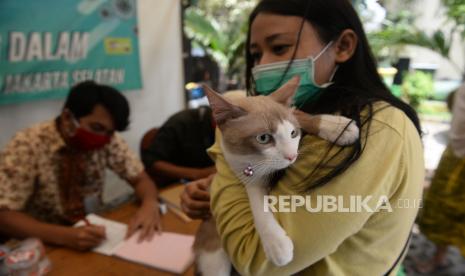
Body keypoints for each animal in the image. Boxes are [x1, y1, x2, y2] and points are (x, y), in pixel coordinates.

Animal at [194, 78, 358, 276]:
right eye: (263, 138)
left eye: (293, 133)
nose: (292, 156)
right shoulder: (245, 173)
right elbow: (257, 204)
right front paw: (275, 243)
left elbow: (299, 114)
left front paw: (336, 126)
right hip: (214, 257)